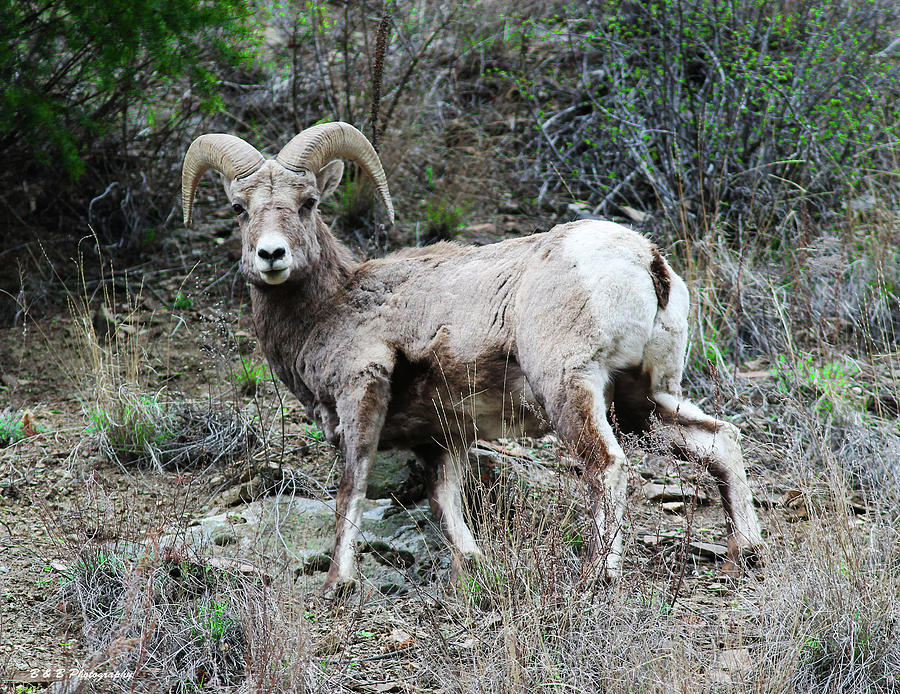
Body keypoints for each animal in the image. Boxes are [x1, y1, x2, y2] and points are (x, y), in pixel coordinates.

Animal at [181, 121, 760, 592]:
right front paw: (470, 568)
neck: (334, 306)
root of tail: (647, 260)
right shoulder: (444, 436)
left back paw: (597, 576)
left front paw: (337, 585)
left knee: (608, 467)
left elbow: (352, 486)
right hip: (646, 398)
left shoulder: (362, 394)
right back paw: (743, 556)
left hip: (572, 389)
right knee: (720, 441)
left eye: (307, 203)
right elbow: (444, 502)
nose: (271, 255)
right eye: (239, 209)